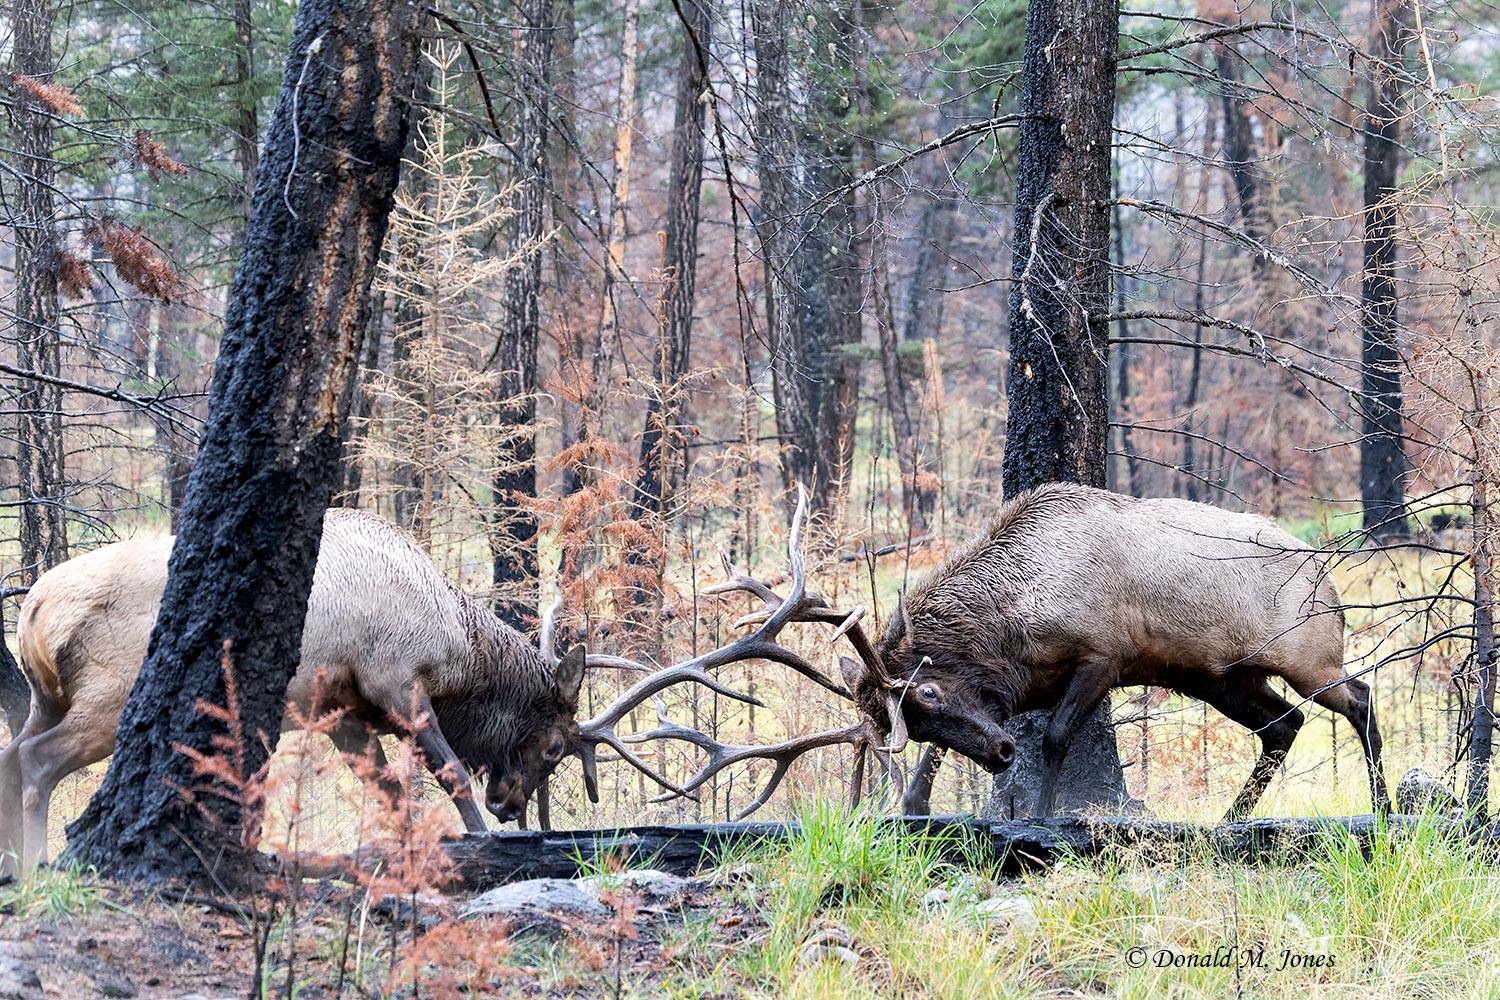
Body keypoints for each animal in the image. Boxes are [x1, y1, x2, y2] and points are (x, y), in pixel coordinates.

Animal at [823, 482, 1391, 821]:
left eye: (928, 692)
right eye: (914, 721)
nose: (1001, 754)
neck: (1016, 621)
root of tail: (1327, 578)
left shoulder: (1104, 655)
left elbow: (1054, 737)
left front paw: (1043, 818)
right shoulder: (1022, 684)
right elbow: (949, 749)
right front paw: (914, 804)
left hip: (1309, 659)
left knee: (1361, 697)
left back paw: (1383, 806)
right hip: (1222, 679)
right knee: (1284, 724)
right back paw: (1231, 816)